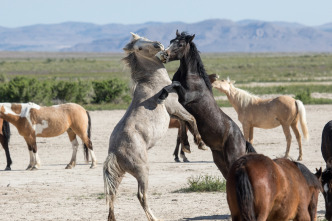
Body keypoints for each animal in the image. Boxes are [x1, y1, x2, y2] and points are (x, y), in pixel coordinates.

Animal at [102, 32, 204, 221]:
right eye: (140, 47)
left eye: (144, 37)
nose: (158, 45)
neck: (153, 82)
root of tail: (114, 152)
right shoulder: (175, 107)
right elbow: (191, 119)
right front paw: (198, 144)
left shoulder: (175, 113)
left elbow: (185, 124)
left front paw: (186, 147)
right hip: (142, 171)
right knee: (141, 195)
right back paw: (154, 218)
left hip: (119, 174)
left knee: (112, 195)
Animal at [157, 31, 255, 179]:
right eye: (171, 41)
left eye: (181, 44)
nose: (164, 54)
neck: (192, 77)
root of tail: (244, 141)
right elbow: (183, 120)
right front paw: (188, 144)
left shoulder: (185, 99)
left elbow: (175, 85)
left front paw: (195, 144)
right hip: (220, 161)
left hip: (232, 158)